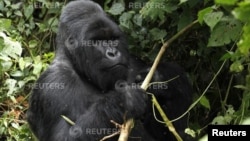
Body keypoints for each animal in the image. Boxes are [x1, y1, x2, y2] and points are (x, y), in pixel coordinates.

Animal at [26, 0, 192, 140]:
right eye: (98, 41)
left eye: (113, 39)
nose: (112, 53)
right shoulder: (52, 84)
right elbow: (62, 136)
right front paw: (123, 101)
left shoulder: (132, 63)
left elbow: (173, 132)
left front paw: (160, 79)